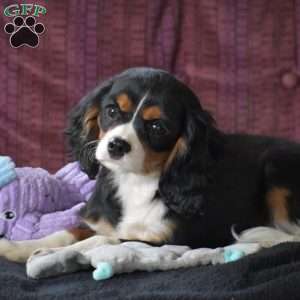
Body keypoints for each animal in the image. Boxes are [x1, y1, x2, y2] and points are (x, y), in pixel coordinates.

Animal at [1, 66, 300, 262]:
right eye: (112, 110)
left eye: (157, 127)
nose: (117, 145)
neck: (136, 180)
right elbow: (69, 230)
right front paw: (19, 247)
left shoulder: (171, 241)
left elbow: (103, 239)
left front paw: (53, 254)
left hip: (278, 169)